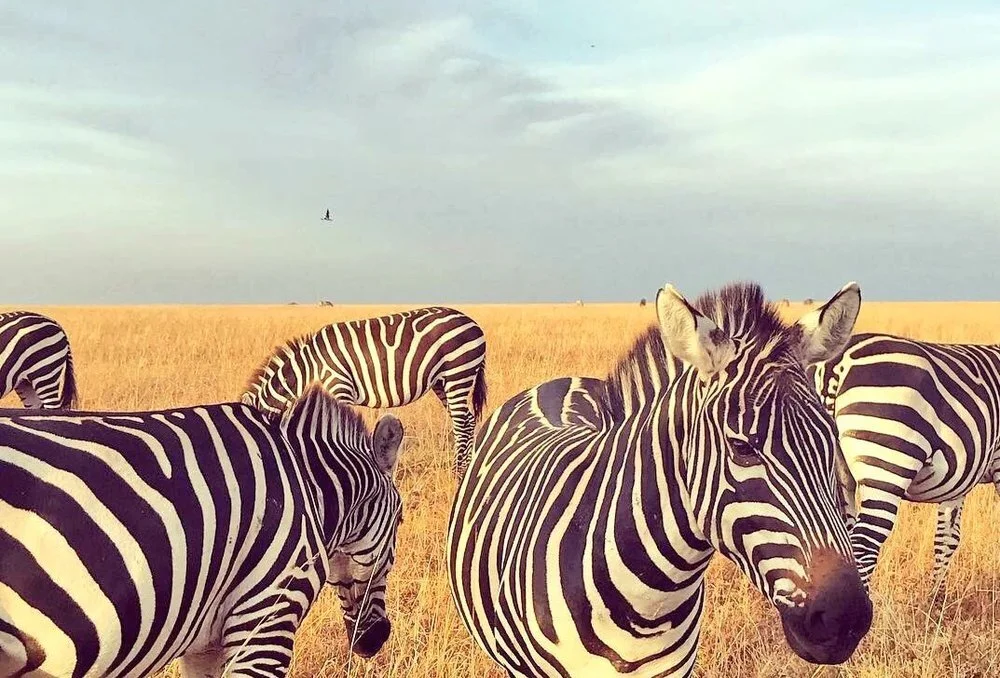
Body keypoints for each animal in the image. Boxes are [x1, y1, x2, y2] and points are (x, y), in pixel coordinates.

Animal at [242, 306, 487, 477]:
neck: (308, 369)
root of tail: (471, 321)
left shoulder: (339, 388)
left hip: (458, 372)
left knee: (462, 423)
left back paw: (458, 473)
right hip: (442, 381)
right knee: (467, 419)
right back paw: (467, 467)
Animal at [809, 332, 1000, 593]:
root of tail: (836, 363)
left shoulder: (960, 477)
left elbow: (947, 540)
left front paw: (936, 601)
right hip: (886, 466)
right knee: (864, 546)